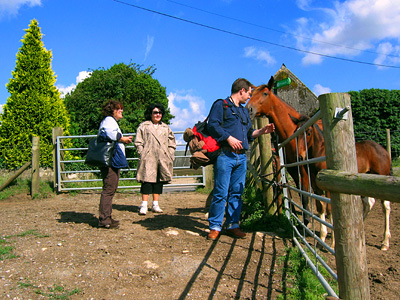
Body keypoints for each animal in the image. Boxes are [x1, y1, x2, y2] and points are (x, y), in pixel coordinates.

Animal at [245, 77, 314, 227]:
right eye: (251, 95)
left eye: (265, 93)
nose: (248, 109)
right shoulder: (291, 167)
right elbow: (294, 189)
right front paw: (298, 217)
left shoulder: (303, 166)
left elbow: (305, 192)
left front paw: (306, 220)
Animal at [292, 115, 392, 251]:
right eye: (295, 133)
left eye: (308, 132)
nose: (300, 157)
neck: (320, 153)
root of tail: (383, 150)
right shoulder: (316, 186)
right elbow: (321, 208)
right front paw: (321, 239)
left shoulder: (329, 187)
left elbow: (330, 210)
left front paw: (333, 243)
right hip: (364, 182)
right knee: (369, 203)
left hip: (380, 179)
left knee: (386, 207)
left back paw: (385, 243)